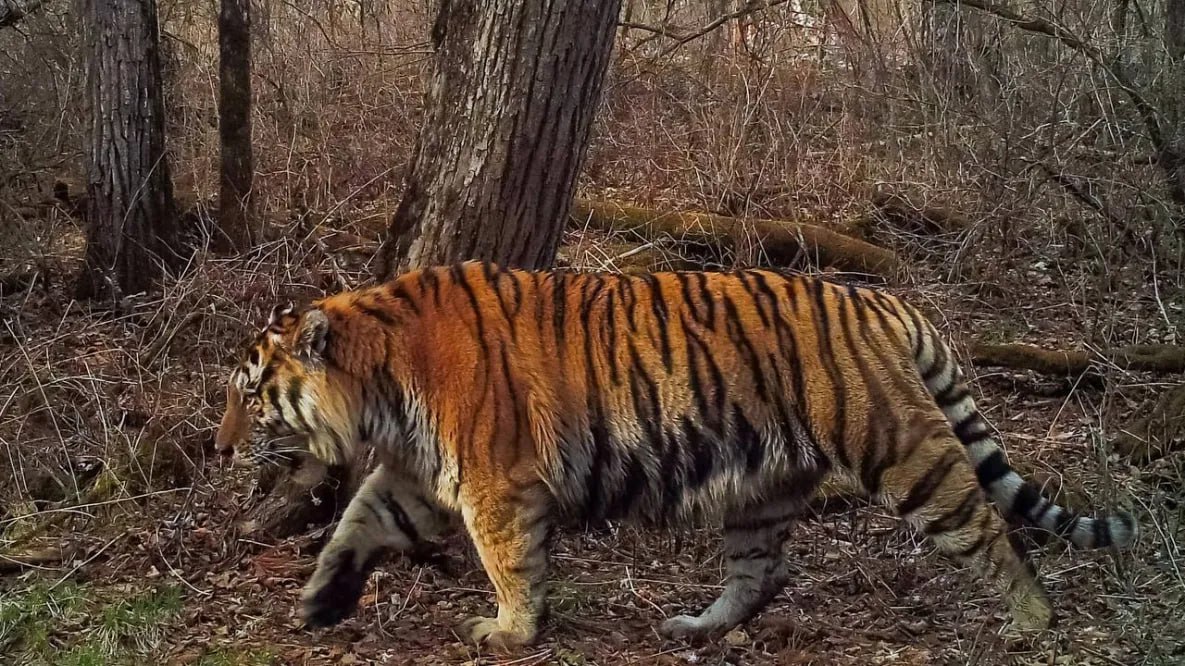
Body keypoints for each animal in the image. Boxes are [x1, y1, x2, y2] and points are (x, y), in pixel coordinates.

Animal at [215, 258, 1137, 649]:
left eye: (250, 394)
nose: (218, 450)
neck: (377, 379)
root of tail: (886, 302)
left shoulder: (492, 481)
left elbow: (508, 561)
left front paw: (510, 630)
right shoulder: (417, 473)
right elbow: (355, 527)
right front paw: (318, 602)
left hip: (901, 448)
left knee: (985, 528)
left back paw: (1030, 620)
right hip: (760, 490)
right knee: (763, 571)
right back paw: (698, 626)